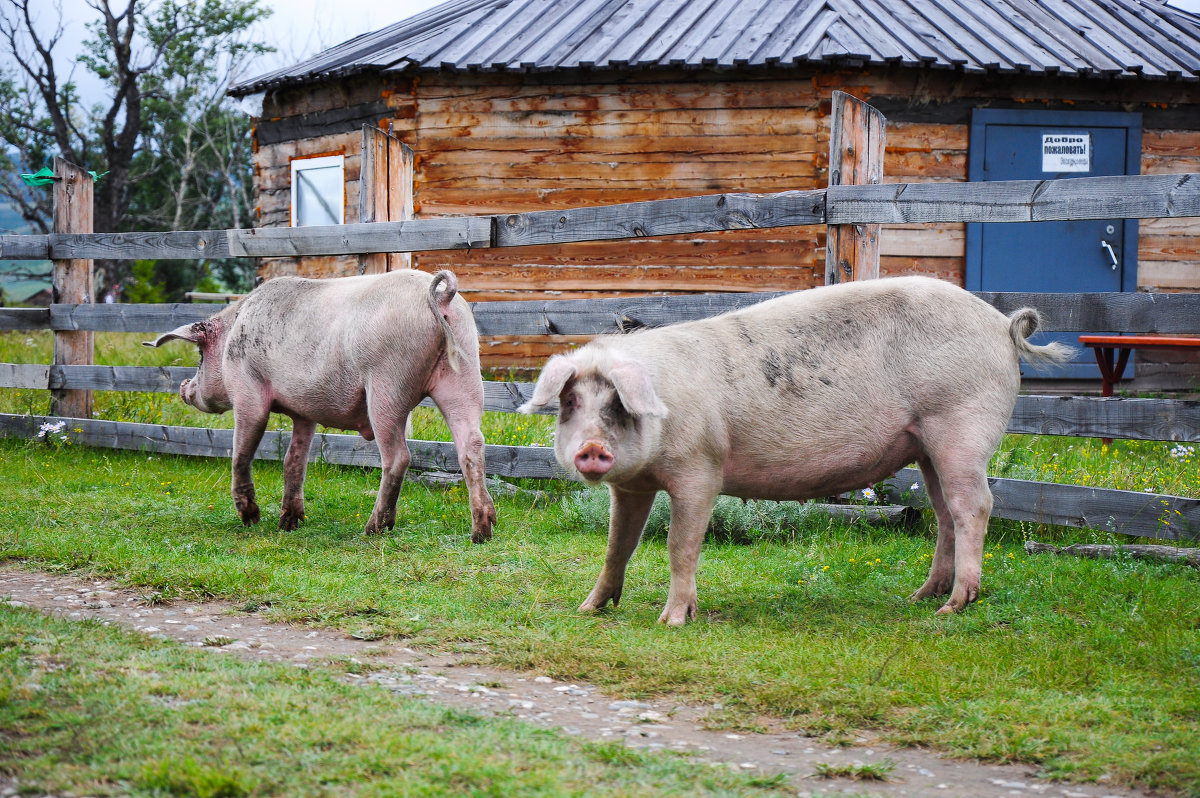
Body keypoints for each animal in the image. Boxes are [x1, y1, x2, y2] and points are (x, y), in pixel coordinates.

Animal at [146, 267, 496, 542]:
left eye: (200, 355)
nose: (184, 387)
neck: (234, 330)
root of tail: (441, 298)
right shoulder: (304, 412)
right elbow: (294, 461)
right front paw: (288, 524)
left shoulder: (247, 391)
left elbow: (241, 452)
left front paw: (251, 519)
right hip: (464, 372)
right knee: (472, 444)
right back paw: (482, 531)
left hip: (388, 384)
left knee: (398, 456)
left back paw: (372, 529)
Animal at [518, 273, 1070, 624]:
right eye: (570, 403)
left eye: (617, 403)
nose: (591, 449)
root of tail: (1001, 324)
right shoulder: (632, 485)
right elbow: (618, 544)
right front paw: (588, 609)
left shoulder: (701, 468)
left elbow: (680, 545)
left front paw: (671, 621)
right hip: (926, 447)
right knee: (943, 513)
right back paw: (920, 597)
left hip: (961, 426)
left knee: (974, 505)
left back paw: (953, 607)